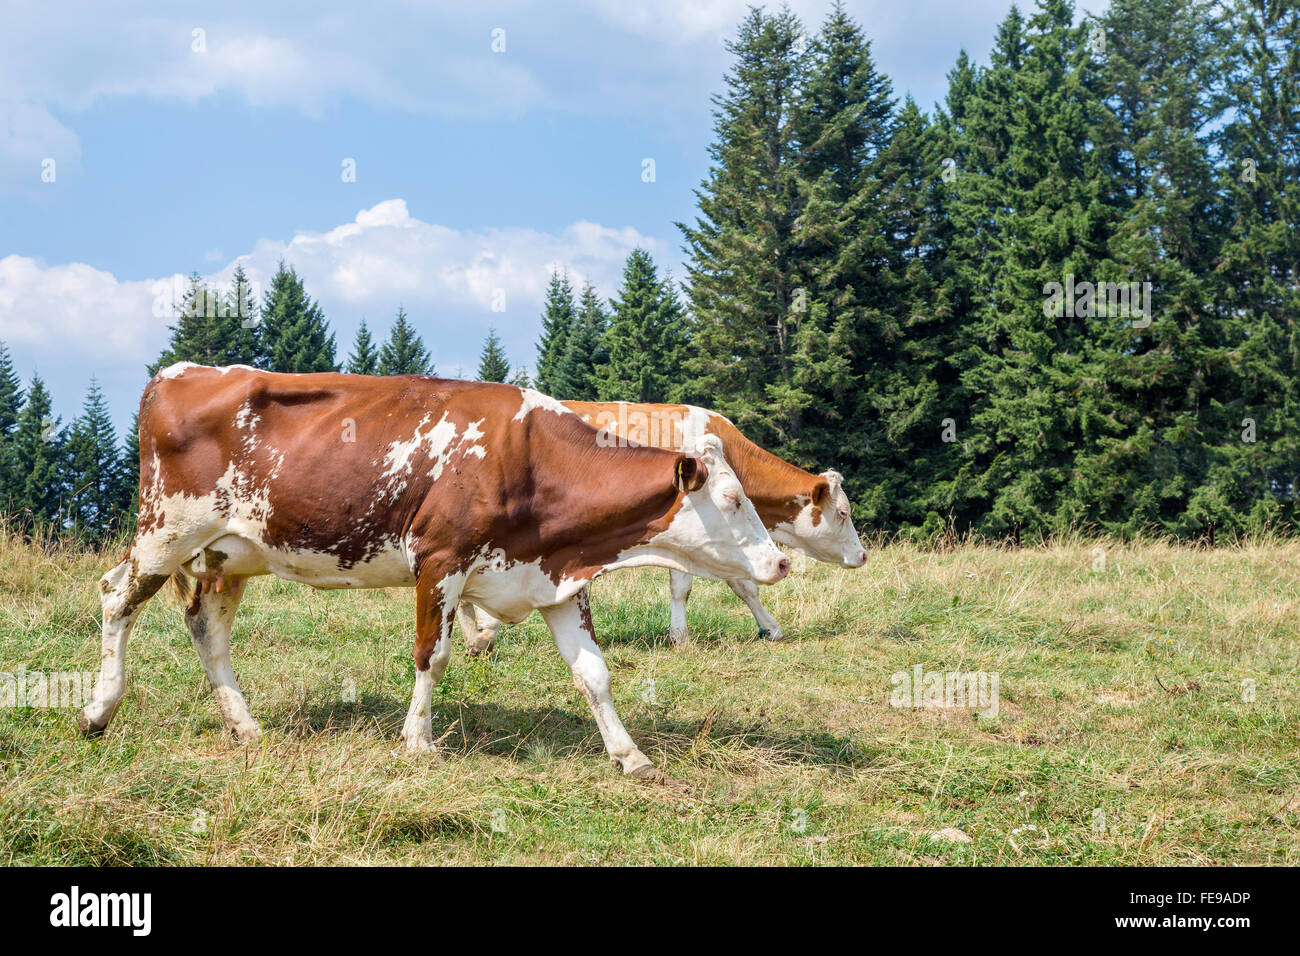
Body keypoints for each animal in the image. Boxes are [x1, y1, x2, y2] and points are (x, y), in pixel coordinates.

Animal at [77, 365, 789, 782]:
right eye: (732, 500)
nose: (780, 560)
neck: (530, 460)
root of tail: (180, 371)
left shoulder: (553, 578)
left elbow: (594, 674)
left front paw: (630, 754)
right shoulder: (440, 560)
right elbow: (432, 654)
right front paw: (419, 741)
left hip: (230, 554)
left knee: (207, 627)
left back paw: (244, 725)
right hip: (166, 531)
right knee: (116, 598)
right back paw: (98, 709)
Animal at [459, 401, 866, 654]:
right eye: (843, 513)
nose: (862, 555)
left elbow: (741, 585)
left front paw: (769, 627)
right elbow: (693, 587)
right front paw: (681, 637)